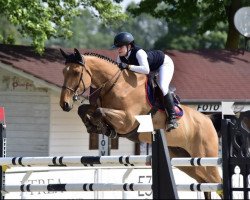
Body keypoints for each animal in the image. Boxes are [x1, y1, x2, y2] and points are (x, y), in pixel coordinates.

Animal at [59, 48, 222, 198]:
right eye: (63, 72)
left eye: (76, 72)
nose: (64, 104)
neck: (115, 84)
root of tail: (207, 119)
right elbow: (83, 109)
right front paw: (94, 126)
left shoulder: (128, 120)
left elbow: (99, 111)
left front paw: (104, 128)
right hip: (185, 159)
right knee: (205, 183)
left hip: (205, 157)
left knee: (218, 183)